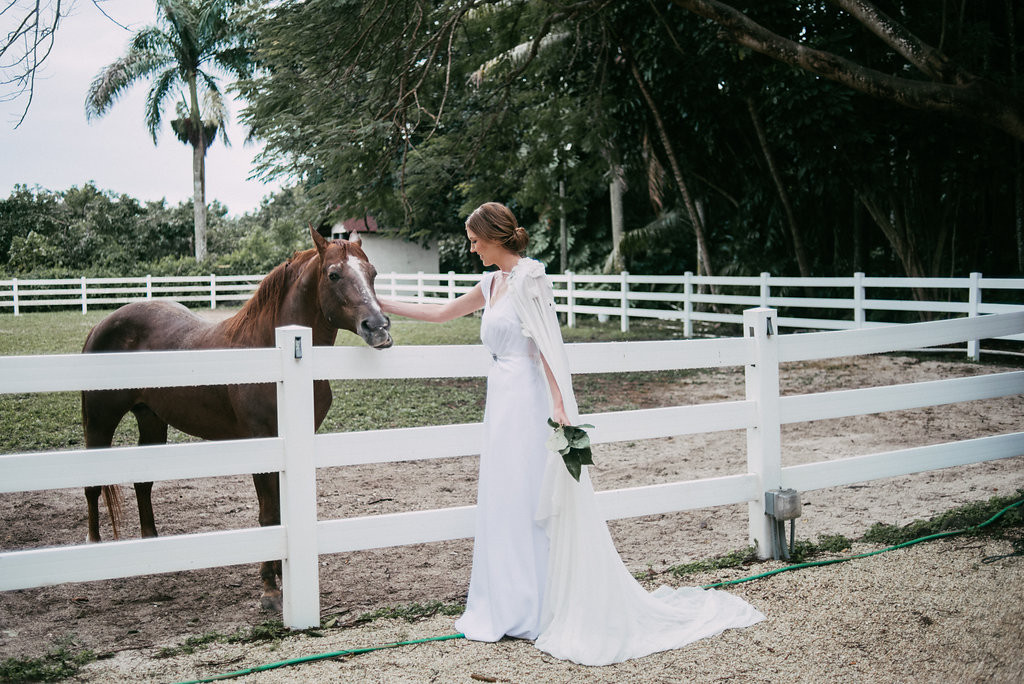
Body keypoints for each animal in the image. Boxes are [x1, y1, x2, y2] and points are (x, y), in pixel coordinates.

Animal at [78, 228, 391, 610]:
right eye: (333, 274)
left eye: (372, 273)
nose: (378, 327)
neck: (272, 350)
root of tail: (102, 324)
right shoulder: (261, 443)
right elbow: (269, 515)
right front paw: (270, 589)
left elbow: (282, 512)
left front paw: (283, 575)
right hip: (99, 419)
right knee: (93, 486)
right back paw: (93, 552)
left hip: (151, 419)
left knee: (143, 483)